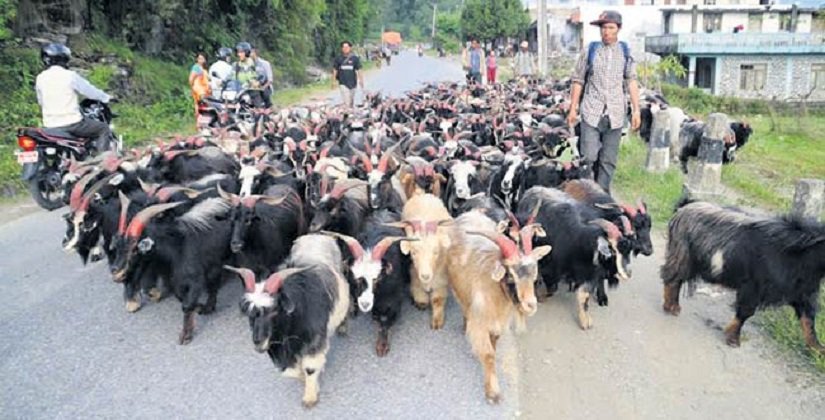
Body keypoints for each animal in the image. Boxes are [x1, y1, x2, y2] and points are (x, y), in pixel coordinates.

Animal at [448, 210, 552, 404]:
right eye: (510, 273)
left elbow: (494, 345)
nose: (530, 305)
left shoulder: (498, 322)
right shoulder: (480, 321)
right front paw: (493, 393)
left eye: (534, 270)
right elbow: (488, 354)